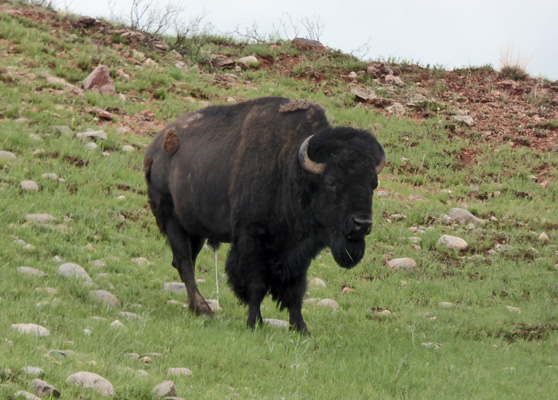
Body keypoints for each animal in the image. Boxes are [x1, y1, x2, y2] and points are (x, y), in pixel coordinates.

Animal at [147, 97, 388, 334]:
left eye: (373, 184)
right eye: (331, 182)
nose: (361, 223)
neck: (289, 168)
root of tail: (154, 149)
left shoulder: (299, 251)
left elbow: (295, 289)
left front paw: (301, 328)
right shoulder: (252, 239)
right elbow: (256, 284)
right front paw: (254, 323)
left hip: (195, 230)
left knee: (186, 261)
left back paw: (195, 308)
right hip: (173, 222)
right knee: (185, 262)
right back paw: (204, 309)